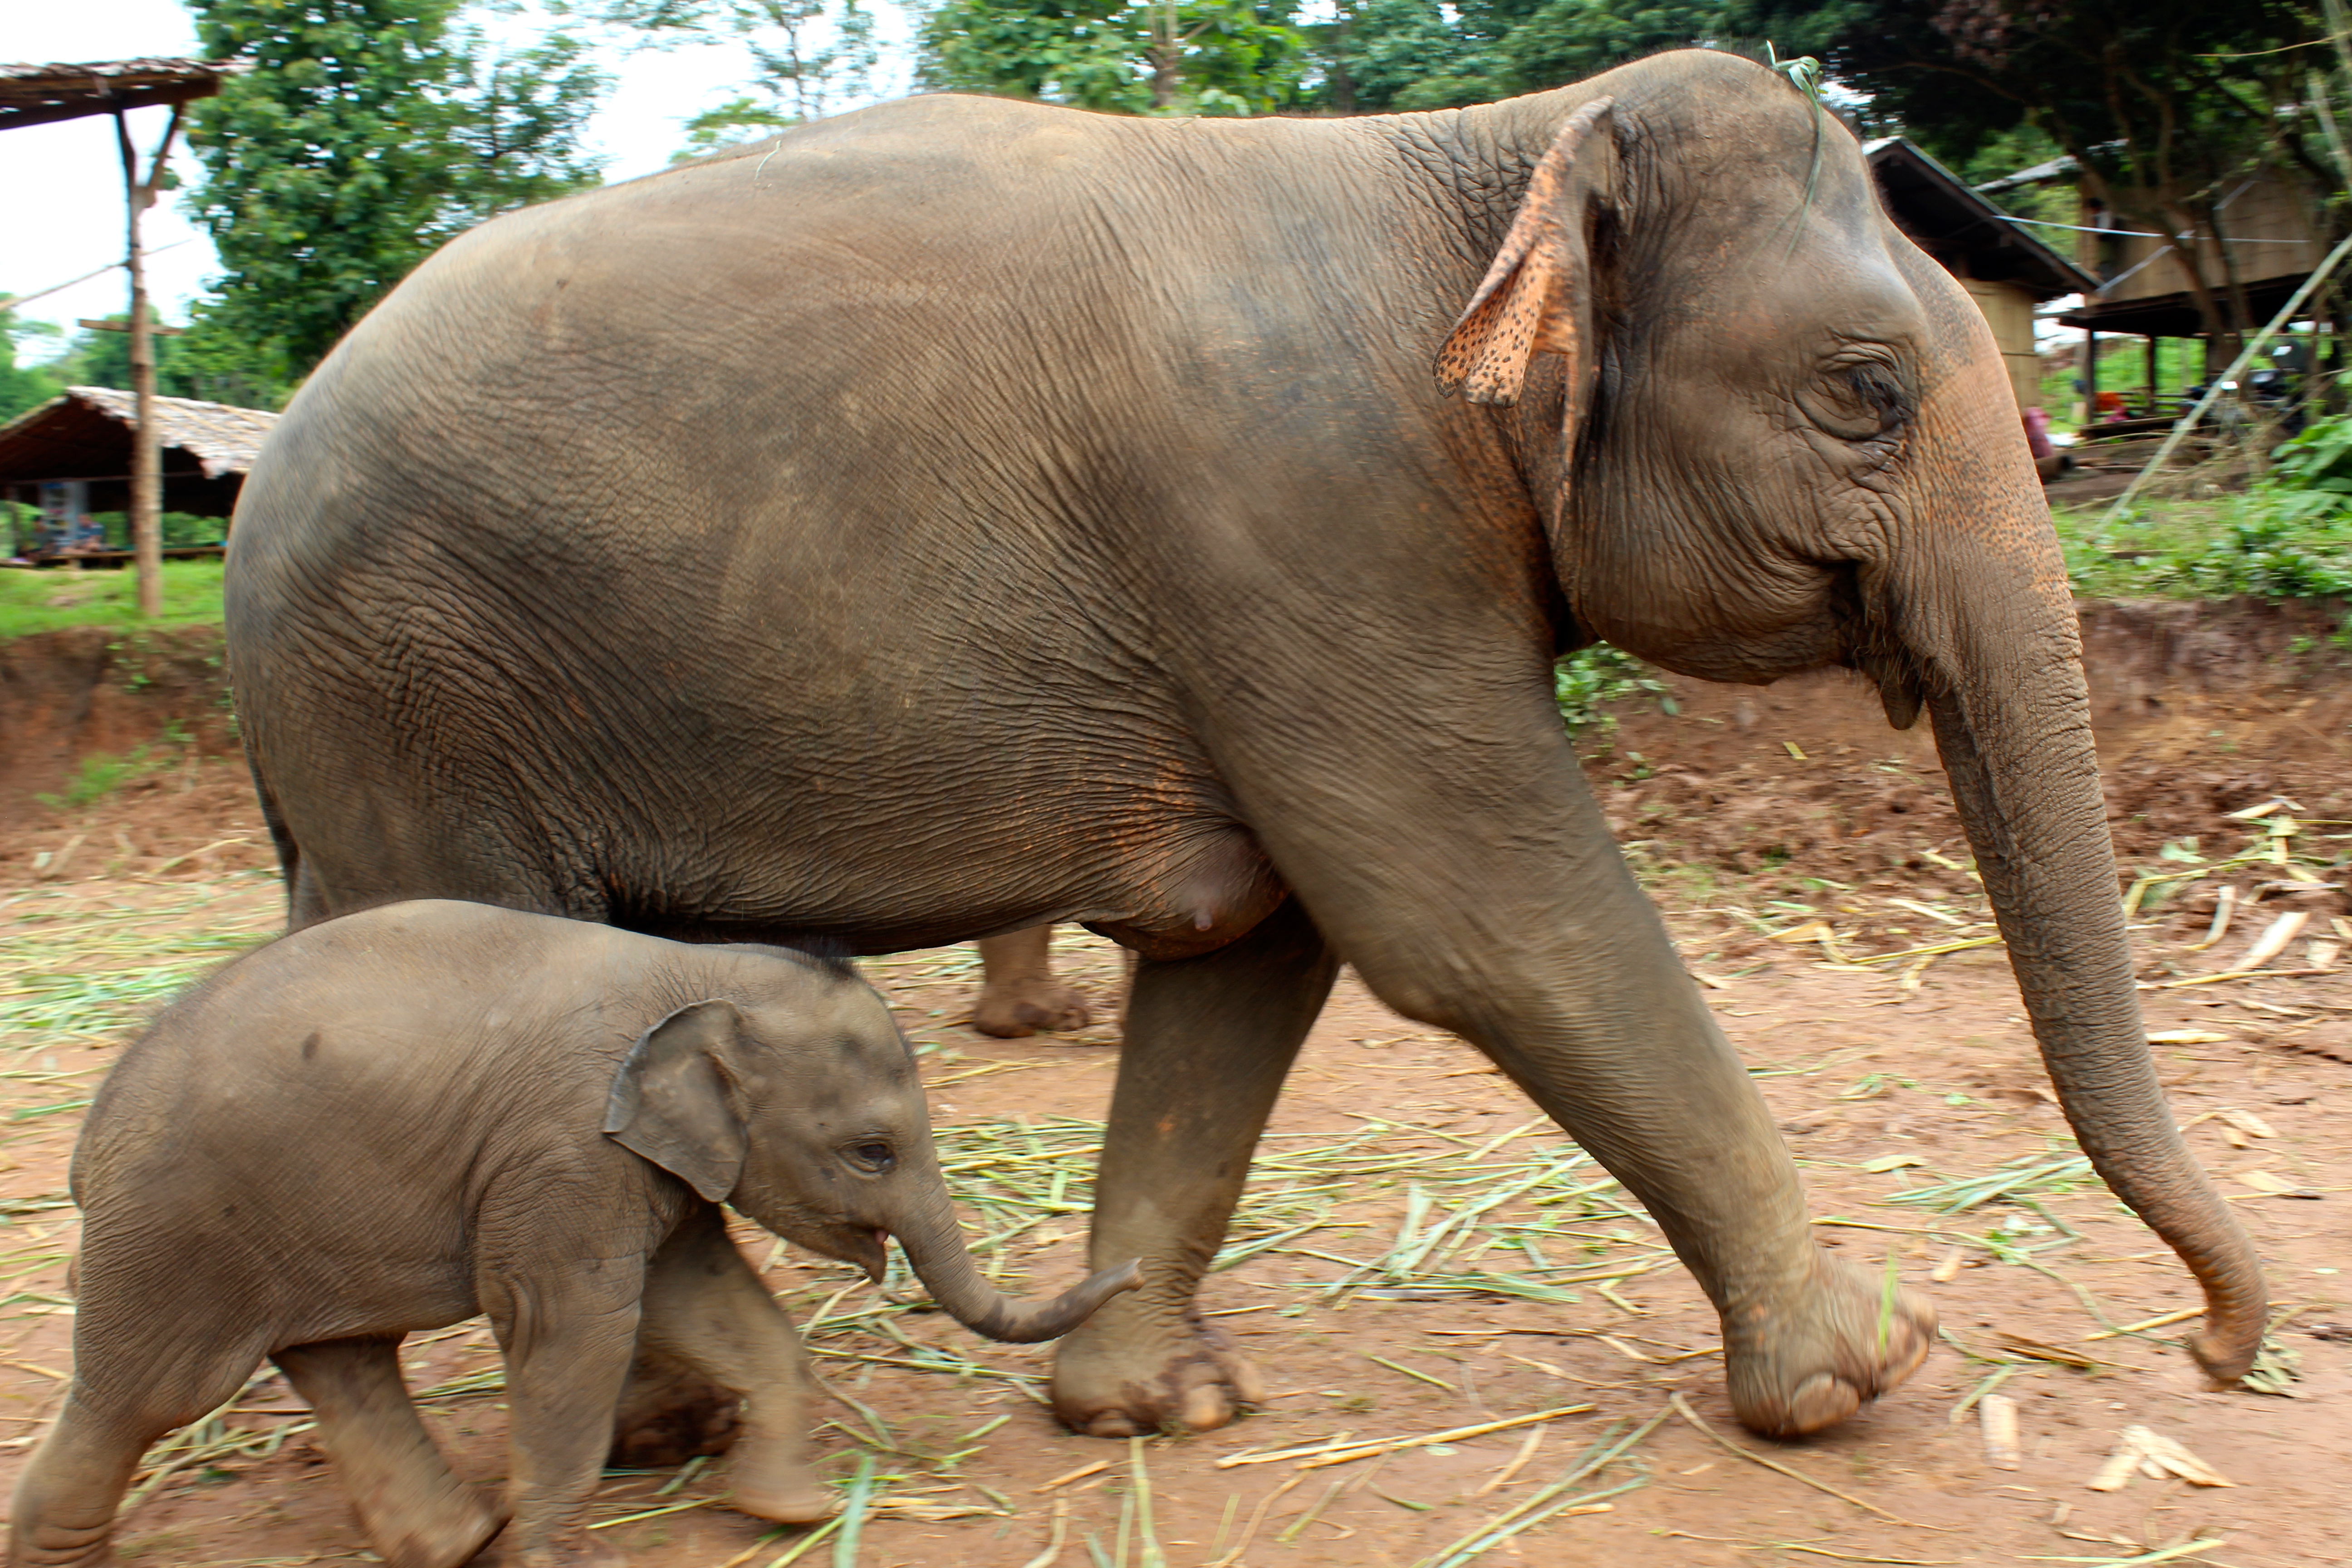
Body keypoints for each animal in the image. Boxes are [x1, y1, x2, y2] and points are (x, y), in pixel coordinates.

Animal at [10, 902, 1140, 1568]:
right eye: (871, 1152)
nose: (1126, 1273)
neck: (694, 973)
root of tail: (88, 1141)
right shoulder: (565, 1156)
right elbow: (574, 1330)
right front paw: (559, 1555)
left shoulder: (648, 1165)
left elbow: (712, 1304)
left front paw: (793, 1513)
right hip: (176, 1234)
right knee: (145, 1396)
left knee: (343, 1358)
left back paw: (455, 1542)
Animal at [223, 48, 2267, 1443]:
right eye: (1867, 393)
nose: (2215, 1351)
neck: (1494, 154)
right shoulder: (1310, 515)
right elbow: (1479, 924)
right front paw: (1864, 1361)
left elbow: (1249, 950)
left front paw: (1149, 1404)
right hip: (410, 688)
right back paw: (651, 1436)